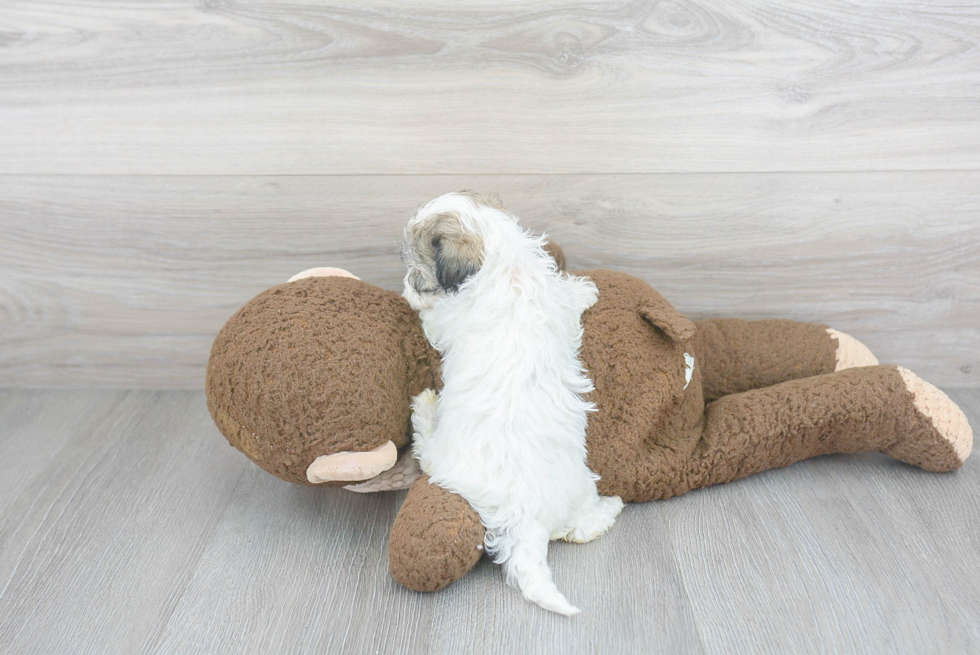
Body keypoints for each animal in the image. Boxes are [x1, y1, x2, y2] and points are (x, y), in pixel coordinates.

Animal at [400, 190, 624, 616]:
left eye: (420, 273)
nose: (406, 285)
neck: (503, 264)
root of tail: (523, 511)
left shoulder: (446, 319)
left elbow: (433, 321)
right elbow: (568, 300)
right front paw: (585, 292)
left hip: (446, 461)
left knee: (427, 455)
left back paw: (424, 409)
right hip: (578, 484)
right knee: (579, 525)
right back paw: (608, 511)